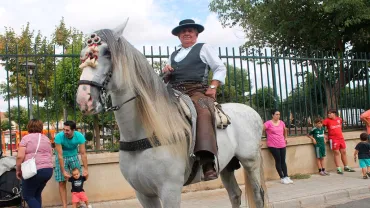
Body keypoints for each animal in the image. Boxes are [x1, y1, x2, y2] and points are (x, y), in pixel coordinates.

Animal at [76, 23, 266, 207]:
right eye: (83, 55)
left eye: (107, 53)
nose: (84, 99)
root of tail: (251, 111)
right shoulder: (143, 194)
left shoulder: (170, 190)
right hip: (226, 166)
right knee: (235, 194)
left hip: (251, 162)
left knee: (258, 196)